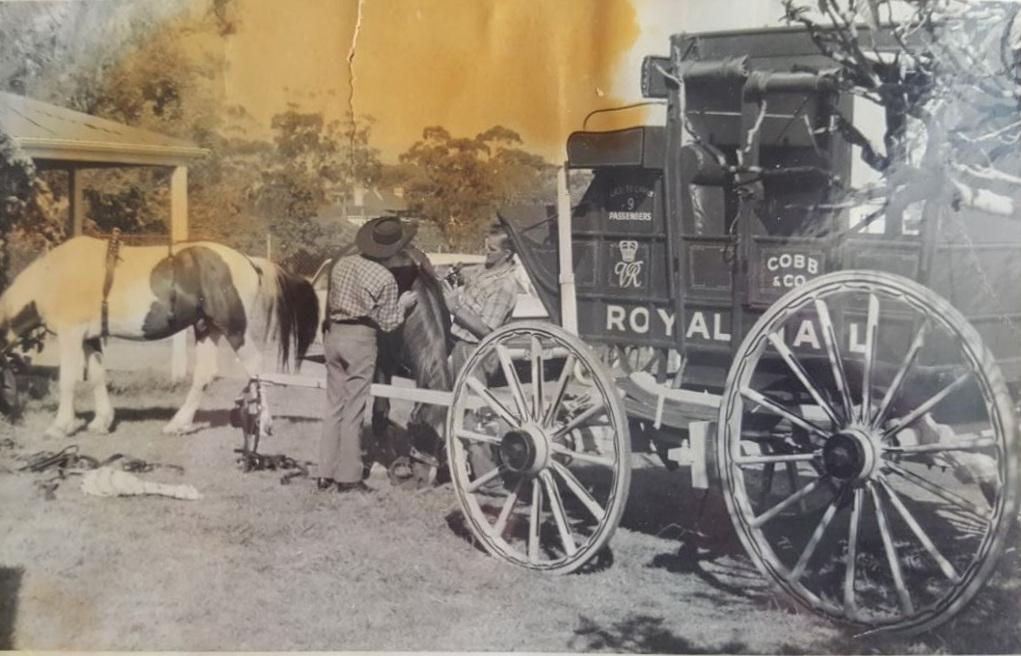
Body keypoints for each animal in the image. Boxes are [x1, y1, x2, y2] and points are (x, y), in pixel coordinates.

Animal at [0, 233, 318, 438]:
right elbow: (97, 377)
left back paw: (264, 423)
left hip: (233, 327)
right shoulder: (90, 338)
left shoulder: (71, 334)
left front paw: (60, 426)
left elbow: (68, 380)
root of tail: (249, 261)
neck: (52, 276)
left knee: (255, 366)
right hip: (207, 328)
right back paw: (179, 424)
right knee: (205, 373)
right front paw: (102, 422)